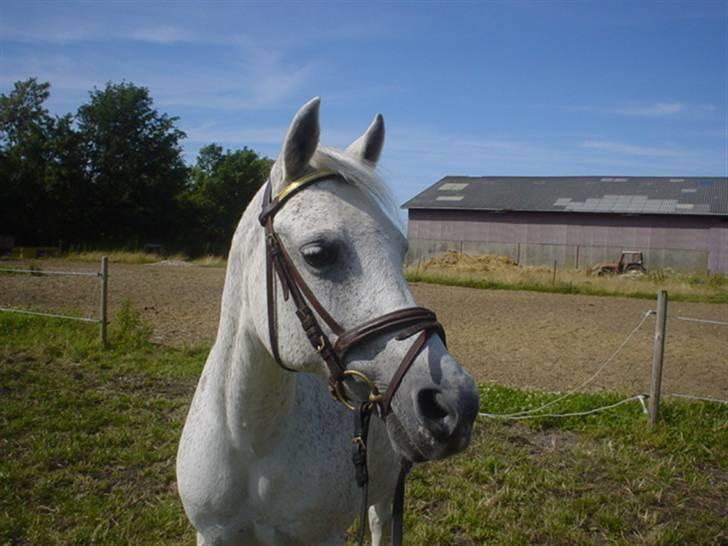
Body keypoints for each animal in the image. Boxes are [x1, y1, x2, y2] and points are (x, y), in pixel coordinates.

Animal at [178, 98, 480, 544]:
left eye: (401, 250)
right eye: (318, 253)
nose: (455, 404)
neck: (250, 436)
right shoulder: (214, 533)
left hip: (386, 489)